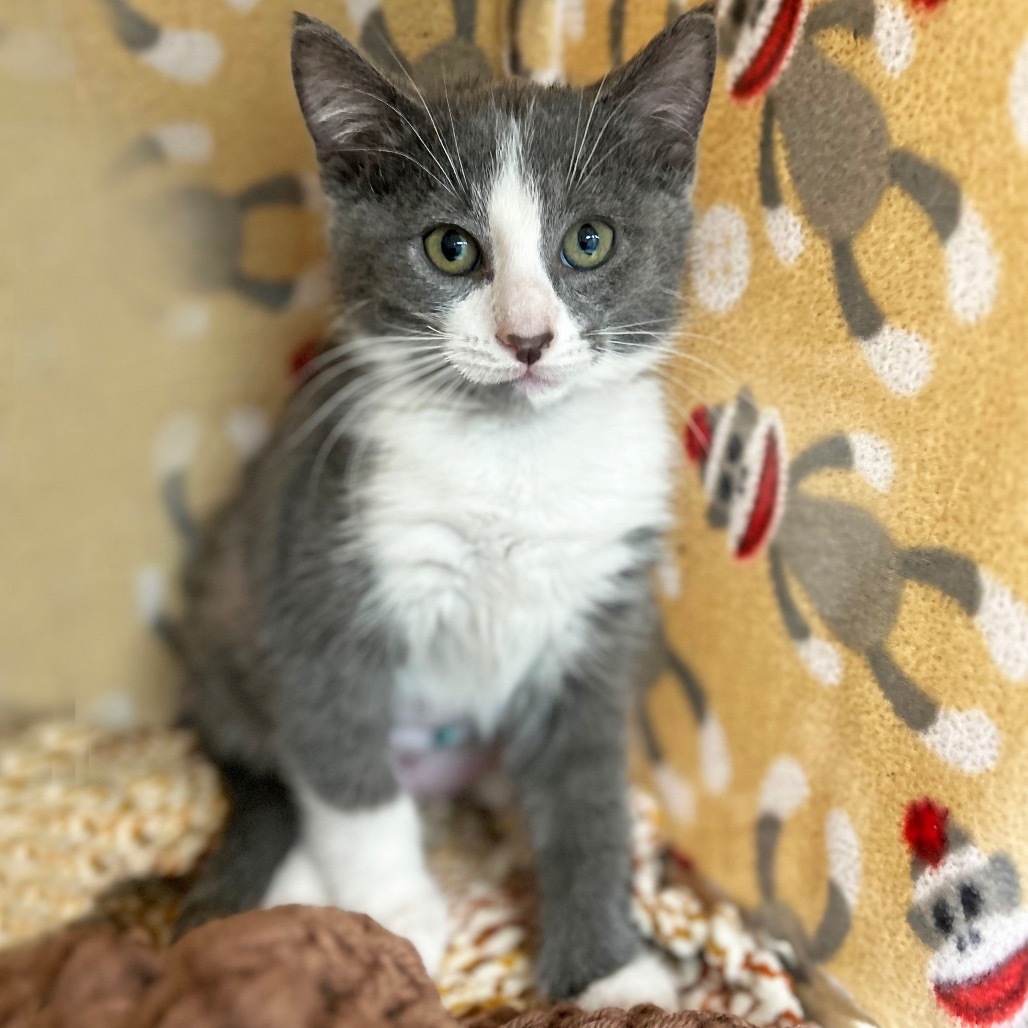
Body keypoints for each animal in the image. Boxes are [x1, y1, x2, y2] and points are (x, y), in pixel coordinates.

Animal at [174, 6, 715, 1003]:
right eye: (450, 249)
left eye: (589, 241)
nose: (527, 338)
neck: (512, 458)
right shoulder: (327, 564)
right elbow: (349, 770)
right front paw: (396, 913)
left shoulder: (598, 613)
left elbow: (589, 800)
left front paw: (610, 975)